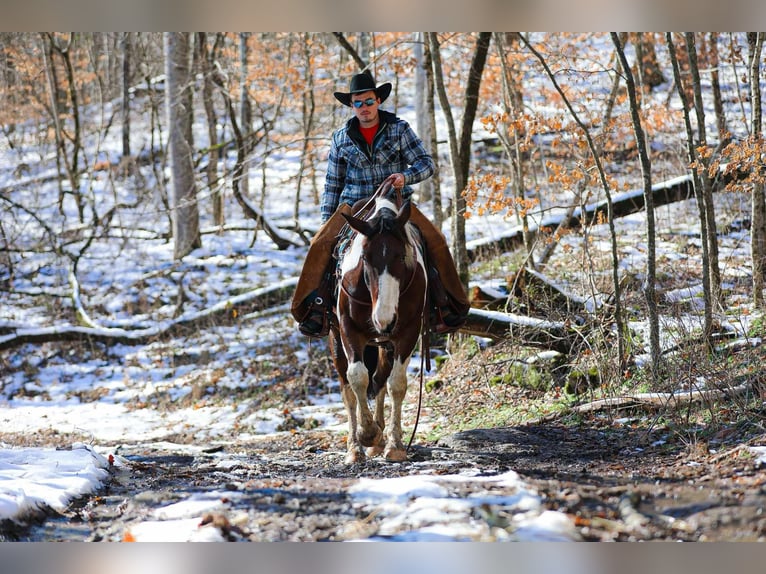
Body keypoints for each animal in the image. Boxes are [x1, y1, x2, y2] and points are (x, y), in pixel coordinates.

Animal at [330, 198, 428, 468]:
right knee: (348, 389)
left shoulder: (408, 332)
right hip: (337, 340)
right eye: (365, 257)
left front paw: (394, 446)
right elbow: (357, 378)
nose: (384, 320)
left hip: (386, 344)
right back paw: (355, 448)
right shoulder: (347, 329)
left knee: (381, 379)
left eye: (402, 255)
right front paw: (367, 434)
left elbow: (396, 384)